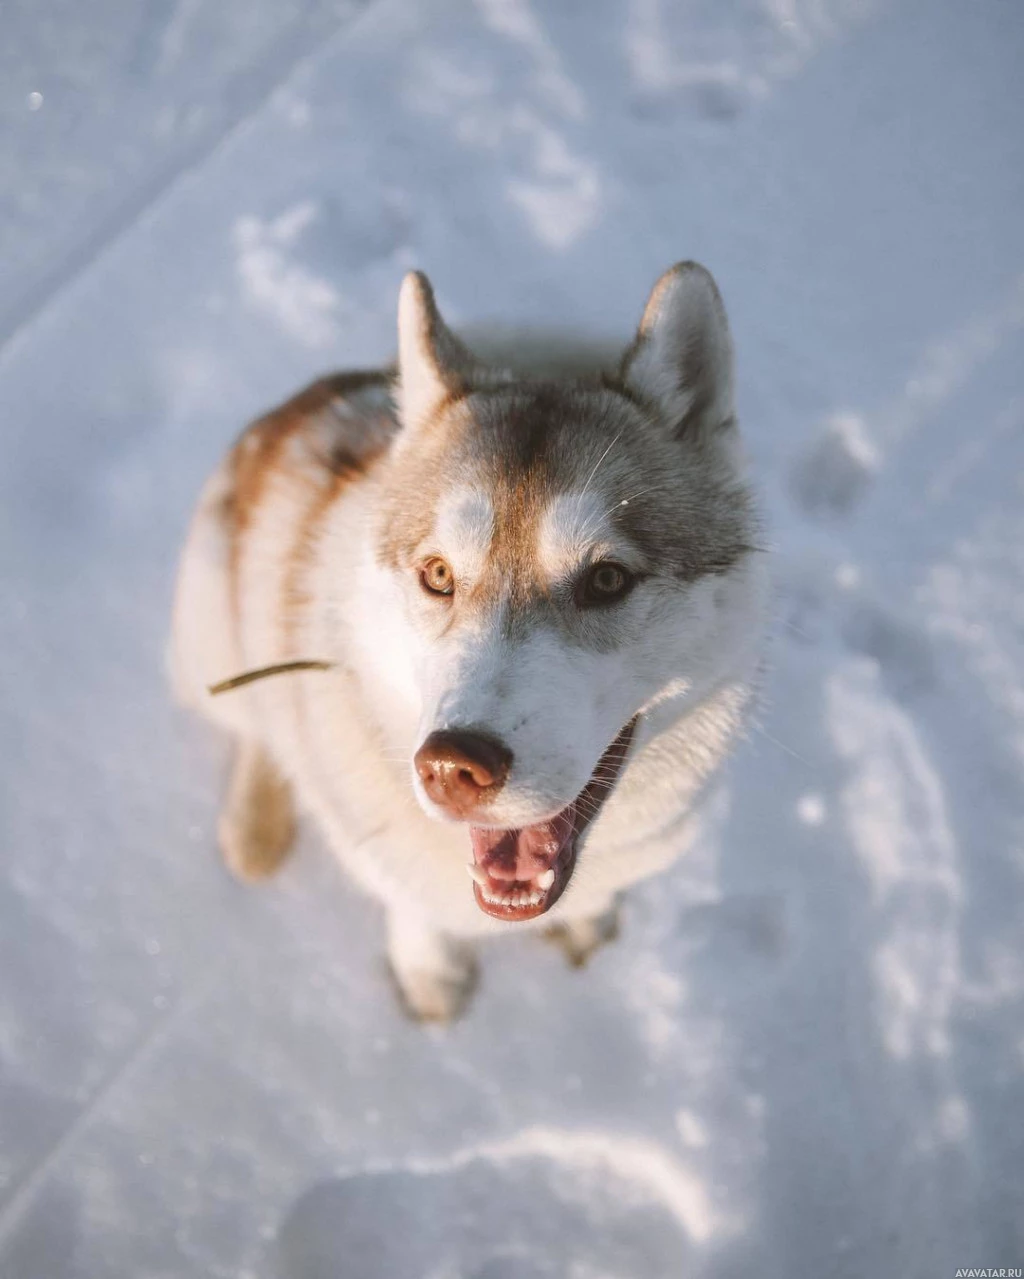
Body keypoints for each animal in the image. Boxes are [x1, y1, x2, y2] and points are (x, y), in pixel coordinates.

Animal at [170, 262, 756, 1018]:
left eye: (607, 579)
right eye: (439, 574)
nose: (454, 764)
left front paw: (587, 925)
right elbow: (411, 904)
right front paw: (431, 973)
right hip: (215, 624)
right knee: (254, 720)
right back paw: (255, 824)